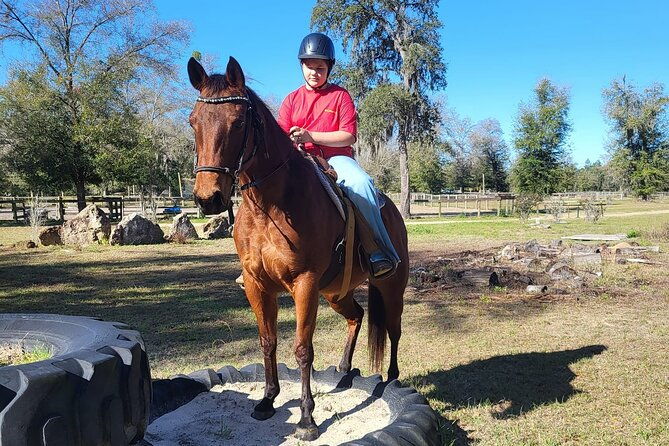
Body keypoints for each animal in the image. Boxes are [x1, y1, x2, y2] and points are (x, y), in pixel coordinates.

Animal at [187, 56, 409, 441]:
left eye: (238, 121)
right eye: (193, 121)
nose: (208, 198)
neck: (270, 205)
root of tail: (392, 211)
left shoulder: (304, 284)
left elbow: (303, 349)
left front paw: (307, 418)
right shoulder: (258, 285)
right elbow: (268, 341)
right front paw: (267, 400)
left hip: (390, 286)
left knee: (393, 330)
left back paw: (392, 378)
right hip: (336, 293)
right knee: (356, 316)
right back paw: (344, 369)